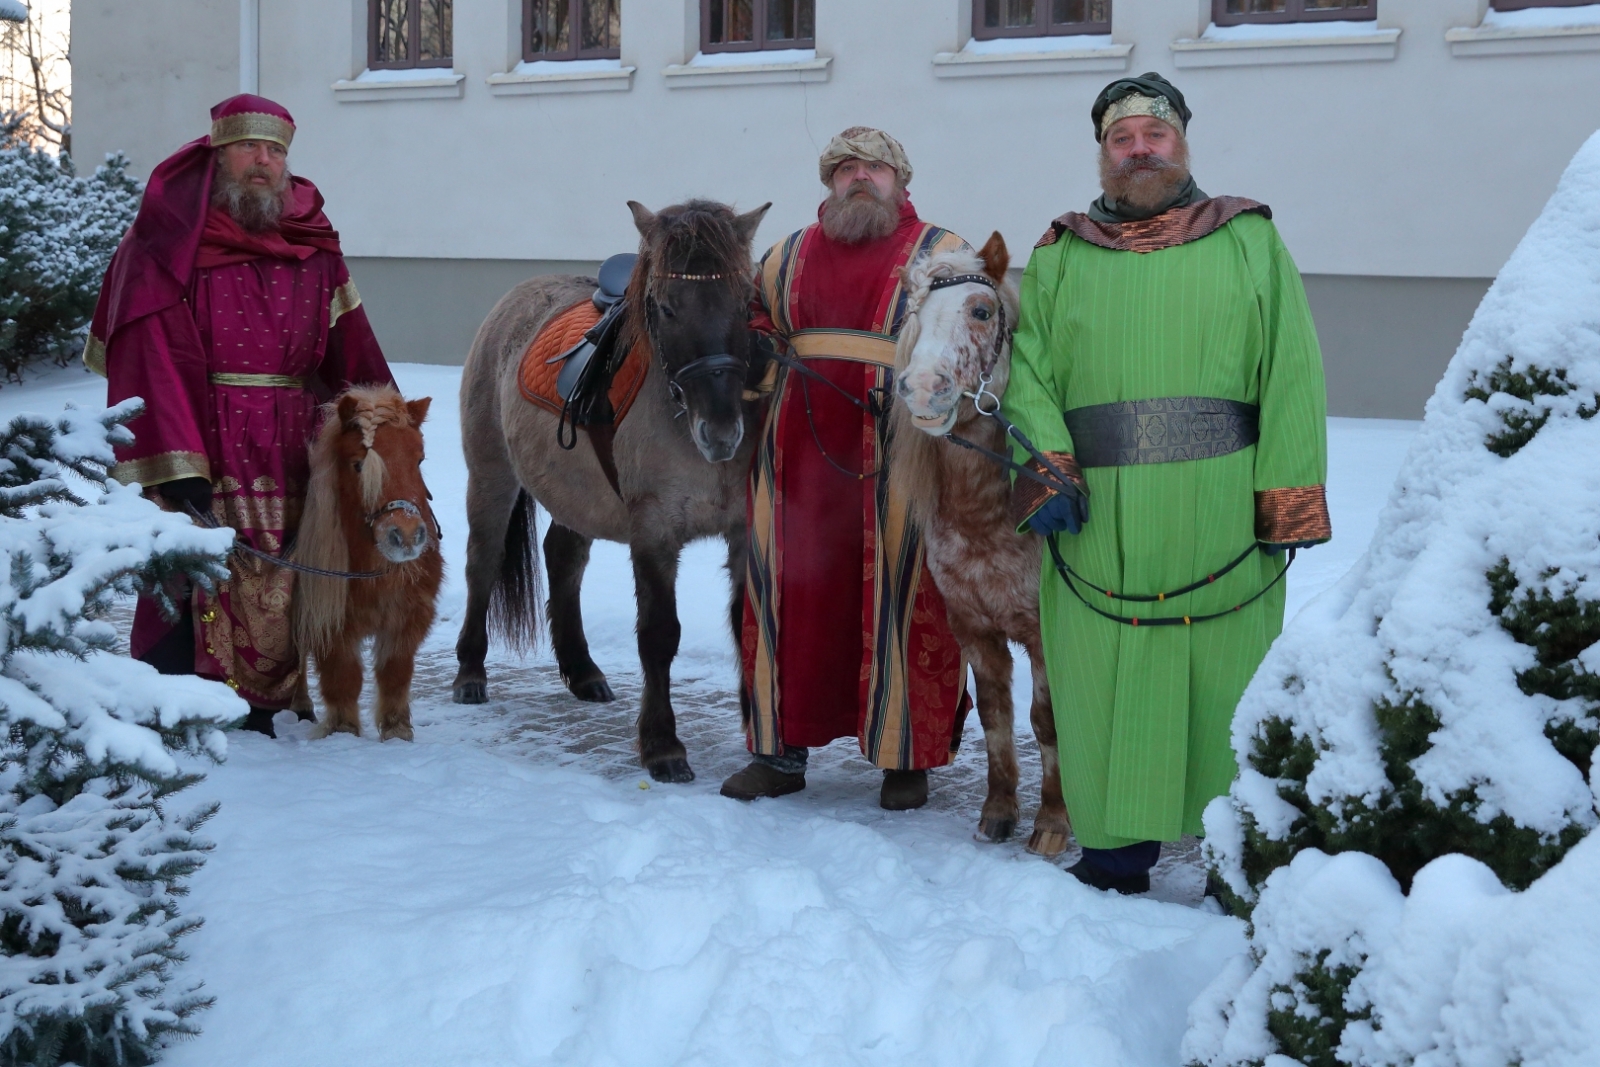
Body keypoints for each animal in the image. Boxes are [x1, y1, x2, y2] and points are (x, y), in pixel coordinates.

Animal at [292, 383, 444, 742]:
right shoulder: (329, 621)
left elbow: (395, 673)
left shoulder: (408, 617)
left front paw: (397, 730)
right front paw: (343, 731)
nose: (406, 535)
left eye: (419, 459)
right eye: (358, 465)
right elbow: (342, 677)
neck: (377, 573)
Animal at [454, 202, 771, 783]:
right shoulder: (654, 532)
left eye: (745, 303)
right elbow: (658, 634)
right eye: (666, 308)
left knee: (563, 557)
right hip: (491, 476)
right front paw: (662, 745)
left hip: (574, 492)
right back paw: (470, 672)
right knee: (481, 563)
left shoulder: (744, 530)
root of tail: (516, 297)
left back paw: (582, 671)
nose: (721, 433)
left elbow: (746, 623)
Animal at [896, 235, 1068, 857]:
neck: (989, 519)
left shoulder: (1047, 635)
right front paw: (998, 813)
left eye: (981, 310)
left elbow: (1046, 722)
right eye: (915, 316)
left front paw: (1052, 823)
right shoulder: (972, 628)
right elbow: (996, 718)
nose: (922, 388)